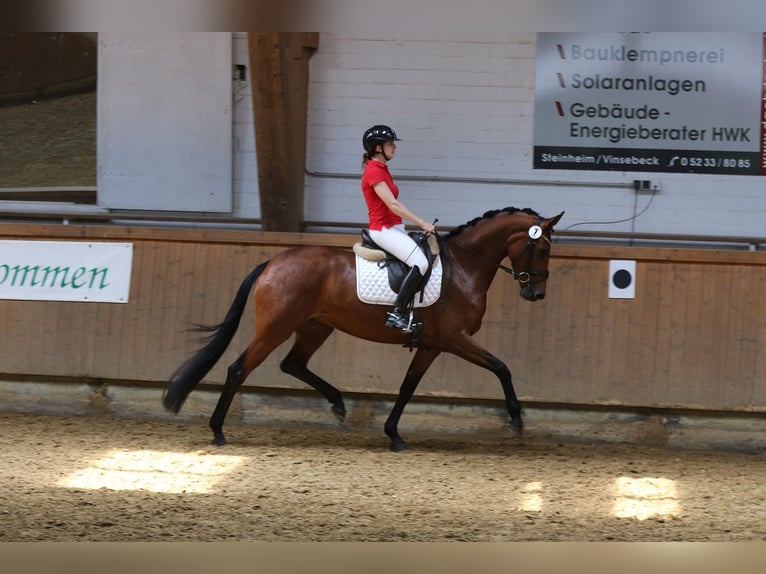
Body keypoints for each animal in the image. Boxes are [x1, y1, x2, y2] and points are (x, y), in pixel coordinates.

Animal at [164, 208, 564, 454]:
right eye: (543, 248)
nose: (537, 293)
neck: (464, 267)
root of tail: (272, 262)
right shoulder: (455, 339)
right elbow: (501, 367)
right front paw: (516, 419)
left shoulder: (432, 344)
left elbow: (407, 386)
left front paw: (394, 434)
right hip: (276, 327)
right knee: (239, 369)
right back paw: (218, 430)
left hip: (315, 327)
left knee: (292, 364)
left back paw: (339, 404)